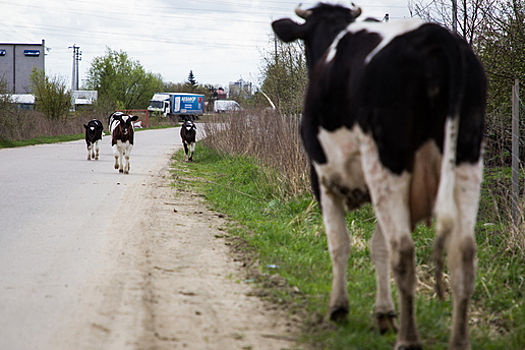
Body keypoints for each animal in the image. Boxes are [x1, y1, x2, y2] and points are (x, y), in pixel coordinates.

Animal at [272, 3, 486, 350]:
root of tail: (436, 37)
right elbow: (378, 247)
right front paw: (384, 312)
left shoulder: (323, 181)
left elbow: (340, 244)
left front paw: (340, 307)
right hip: (467, 159)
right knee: (463, 253)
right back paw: (458, 340)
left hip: (387, 162)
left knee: (404, 250)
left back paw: (408, 338)